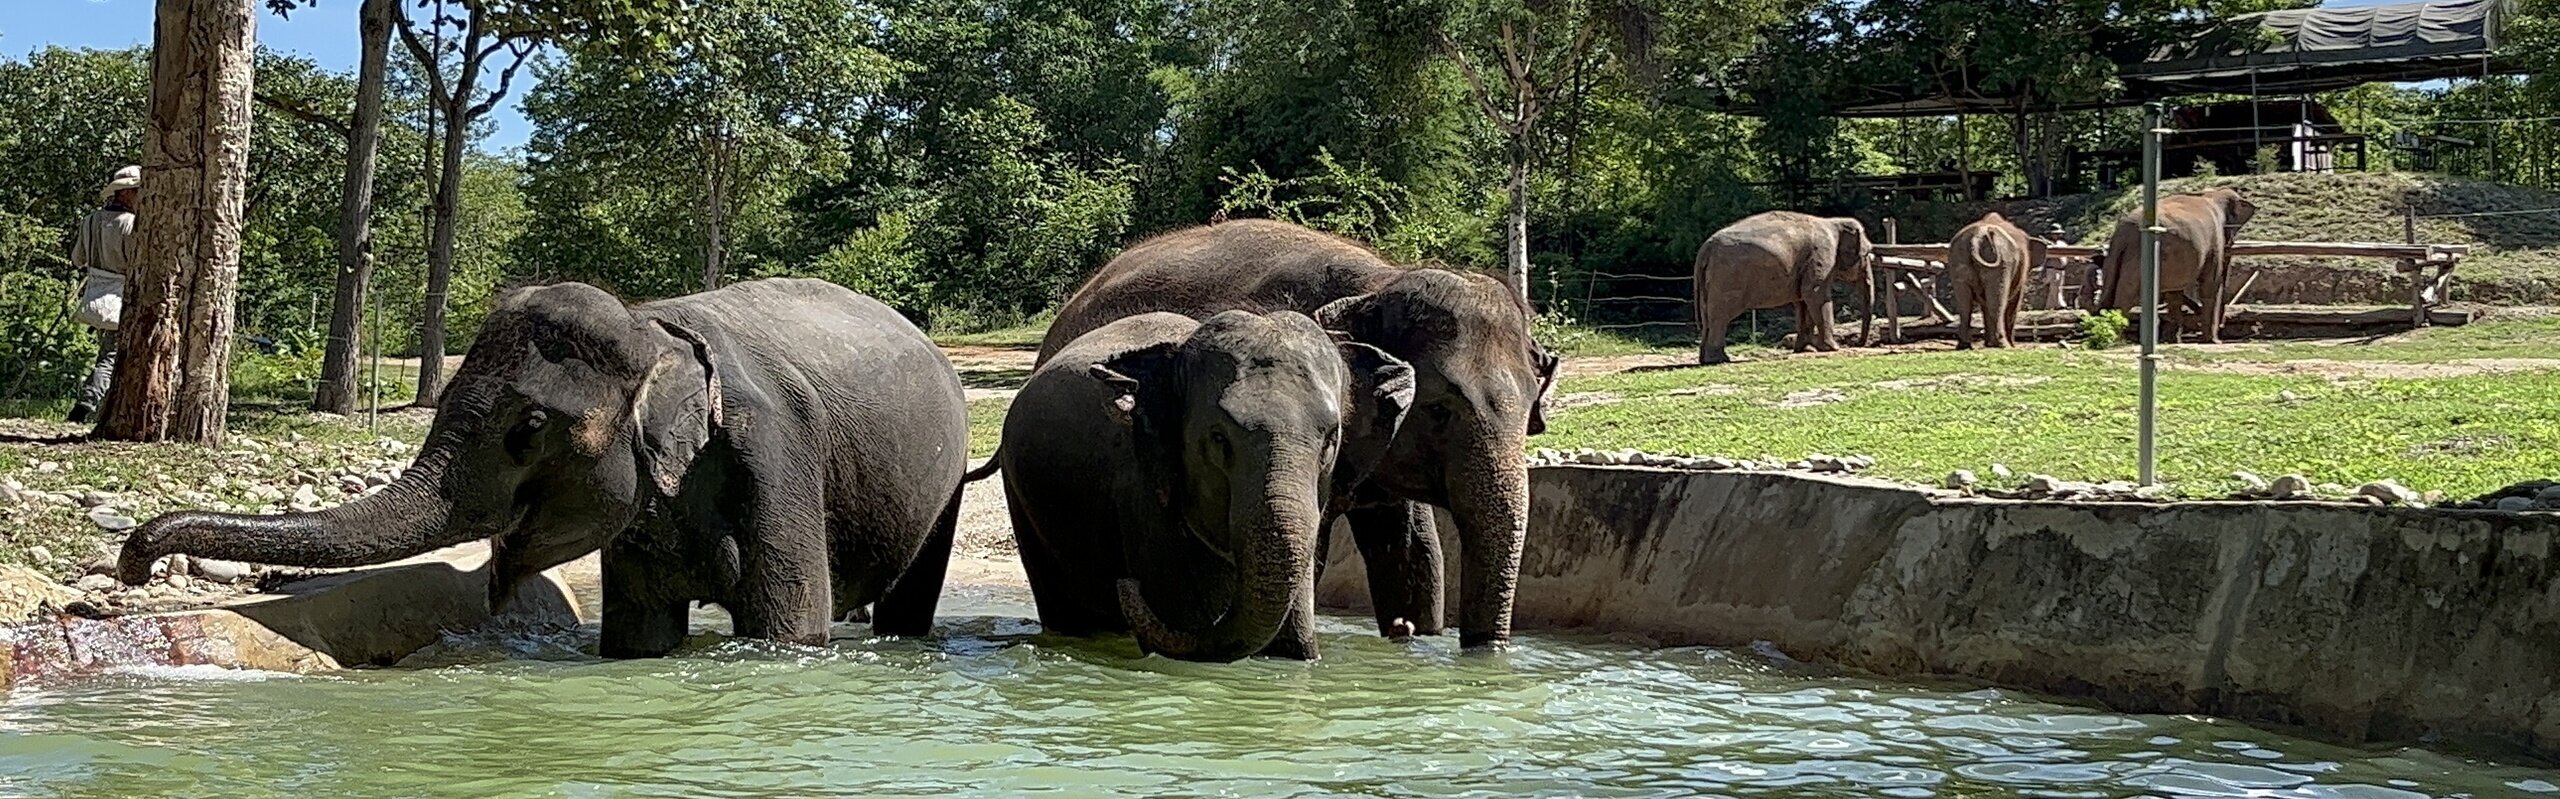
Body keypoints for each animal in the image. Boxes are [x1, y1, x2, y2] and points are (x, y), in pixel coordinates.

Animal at [117, 279, 970, 658]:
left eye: (527, 428)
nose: (131, 562)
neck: (653, 325)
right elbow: (639, 636)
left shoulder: (776, 457)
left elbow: (786, 631)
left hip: (947, 480)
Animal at [1692, 211, 1875, 365]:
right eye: (1866, 254)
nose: (1858, 343)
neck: (1833, 222)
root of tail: (1706, 247)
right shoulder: (1822, 254)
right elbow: (1815, 294)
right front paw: (1833, 348)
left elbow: (1803, 301)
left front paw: (1805, 350)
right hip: (1727, 277)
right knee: (1720, 316)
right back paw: (1719, 360)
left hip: (1711, 279)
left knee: (1708, 316)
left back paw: (1706, 359)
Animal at [1946, 212, 2045, 349]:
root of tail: (1978, 235)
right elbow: (2014, 301)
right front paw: (2012, 346)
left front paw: (1988, 344)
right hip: (2002, 263)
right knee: (1997, 301)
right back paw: (2004, 345)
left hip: (1958, 259)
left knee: (1965, 304)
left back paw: (1964, 345)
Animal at [2099, 188, 2258, 343]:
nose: (2222, 328)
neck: (2212, 194)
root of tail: (2122, 232)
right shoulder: (2215, 242)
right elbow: (2210, 285)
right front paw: (2212, 342)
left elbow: (2175, 293)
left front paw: (2174, 340)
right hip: (2139, 257)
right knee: (2126, 294)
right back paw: (2116, 340)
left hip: (2118, 257)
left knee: (2109, 293)